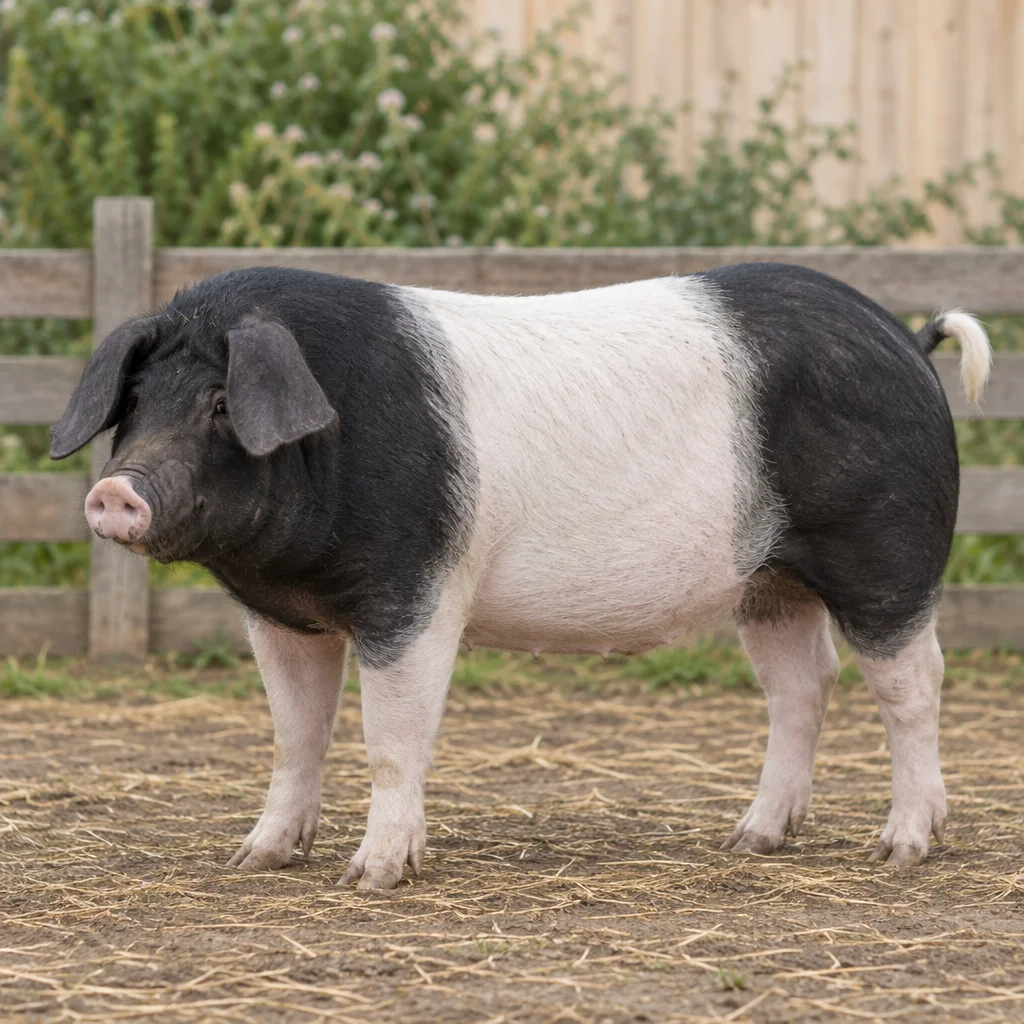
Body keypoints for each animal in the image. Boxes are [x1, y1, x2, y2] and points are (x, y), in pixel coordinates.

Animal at [50, 262, 992, 887]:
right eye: (135, 405)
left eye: (219, 406)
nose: (114, 493)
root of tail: (906, 340)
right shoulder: (285, 616)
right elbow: (294, 736)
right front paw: (255, 858)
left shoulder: (414, 595)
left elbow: (390, 741)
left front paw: (371, 878)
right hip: (768, 583)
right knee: (803, 686)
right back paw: (750, 841)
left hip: (887, 555)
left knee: (915, 683)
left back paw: (900, 849)